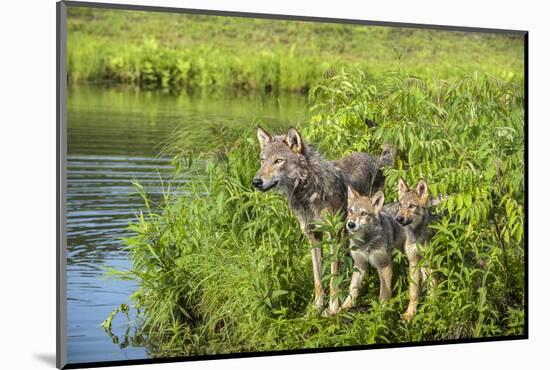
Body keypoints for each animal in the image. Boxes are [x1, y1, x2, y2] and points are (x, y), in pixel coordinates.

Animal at [252, 127, 394, 316]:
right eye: (262, 160)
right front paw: (317, 307)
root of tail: (377, 158)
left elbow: (333, 277)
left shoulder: (334, 235)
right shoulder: (313, 237)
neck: (309, 194)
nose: (256, 181)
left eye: (278, 161)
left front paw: (333, 308)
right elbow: (318, 278)